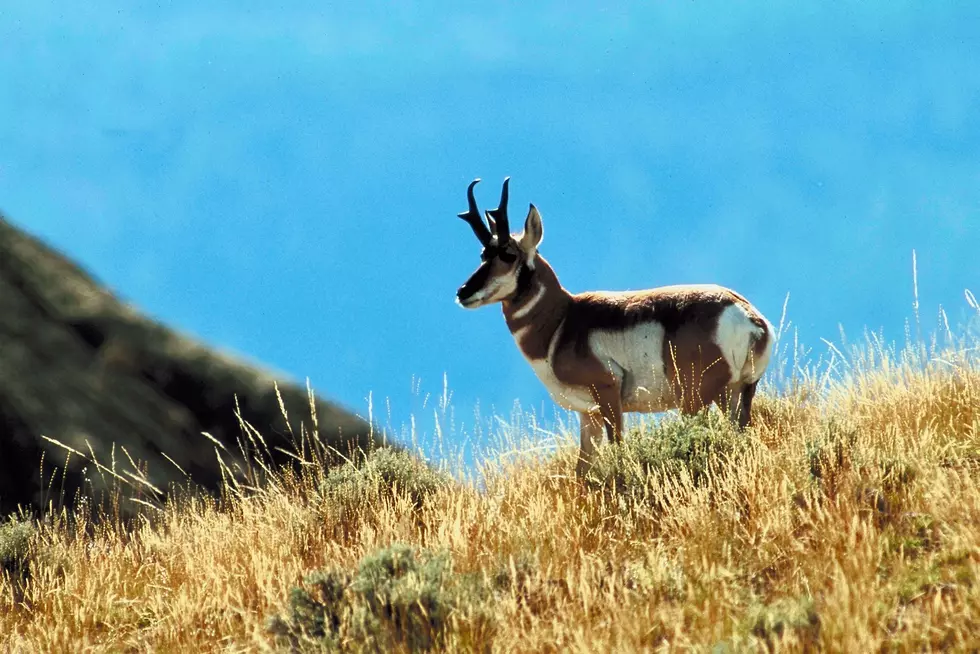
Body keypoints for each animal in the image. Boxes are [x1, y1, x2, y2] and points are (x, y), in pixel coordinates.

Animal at [453, 177, 774, 475]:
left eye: (508, 254)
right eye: (483, 254)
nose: (462, 292)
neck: (563, 320)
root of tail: (748, 316)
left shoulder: (607, 393)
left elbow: (618, 446)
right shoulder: (588, 414)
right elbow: (581, 471)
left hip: (697, 398)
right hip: (739, 393)